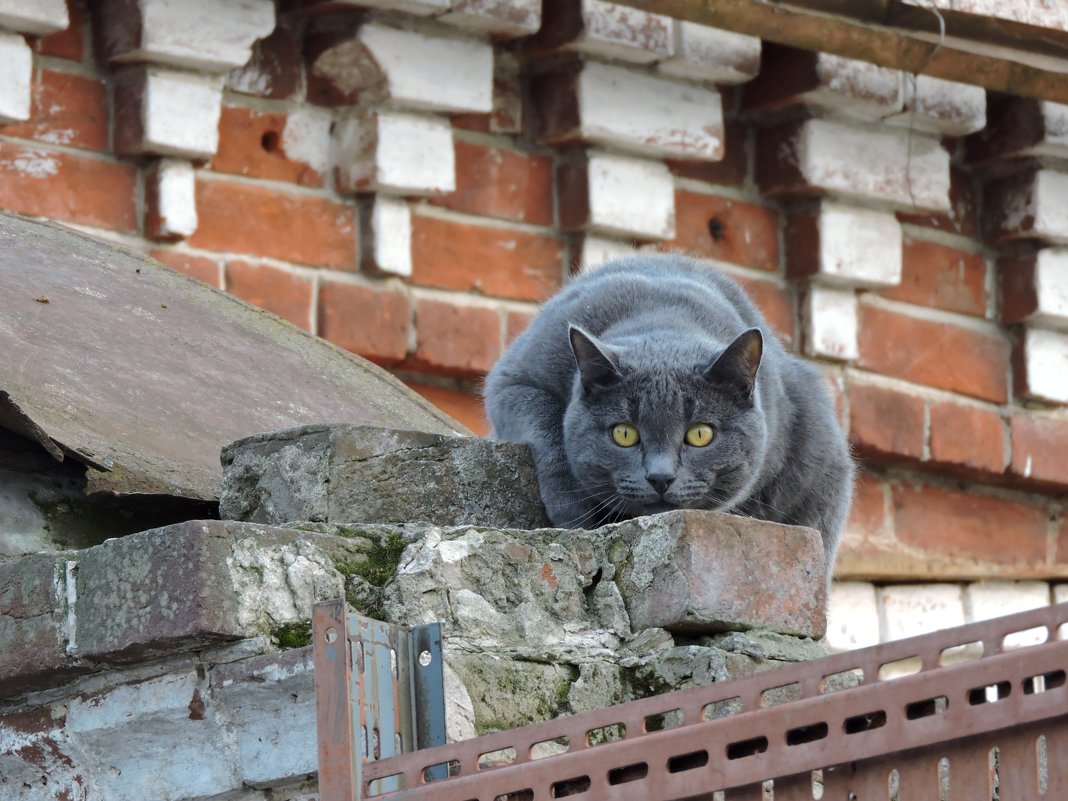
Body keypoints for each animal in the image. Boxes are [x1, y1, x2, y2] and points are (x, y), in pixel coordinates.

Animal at [489, 254, 854, 568]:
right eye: (624, 433)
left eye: (700, 434)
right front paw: (572, 511)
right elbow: (548, 430)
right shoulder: (514, 379)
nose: (660, 477)